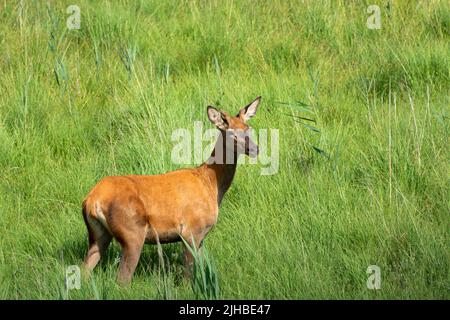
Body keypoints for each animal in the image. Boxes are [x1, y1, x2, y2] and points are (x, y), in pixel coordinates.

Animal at [82, 96, 262, 284]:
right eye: (232, 133)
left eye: (249, 129)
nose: (256, 149)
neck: (211, 185)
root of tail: (92, 200)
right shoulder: (191, 230)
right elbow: (188, 275)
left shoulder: (200, 236)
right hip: (132, 232)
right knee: (122, 279)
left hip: (98, 235)